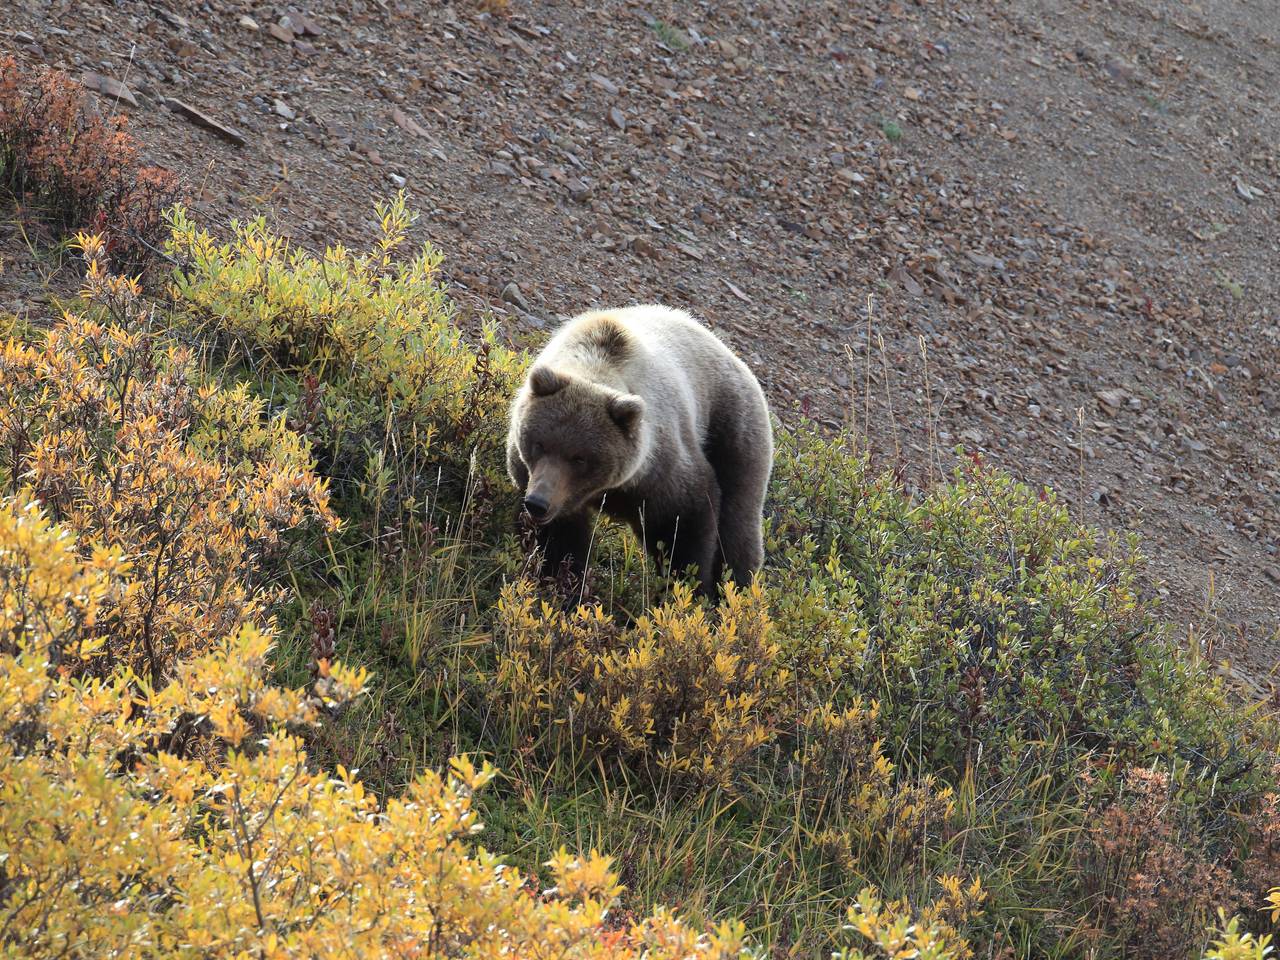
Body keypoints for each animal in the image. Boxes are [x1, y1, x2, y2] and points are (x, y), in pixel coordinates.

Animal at [505, 304, 773, 597]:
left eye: (580, 458)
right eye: (539, 444)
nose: (538, 503)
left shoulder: (659, 470)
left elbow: (684, 522)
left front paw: (690, 587)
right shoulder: (541, 483)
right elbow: (558, 542)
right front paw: (564, 585)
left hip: (732, 428)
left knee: (738, 521)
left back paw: (737, 588)